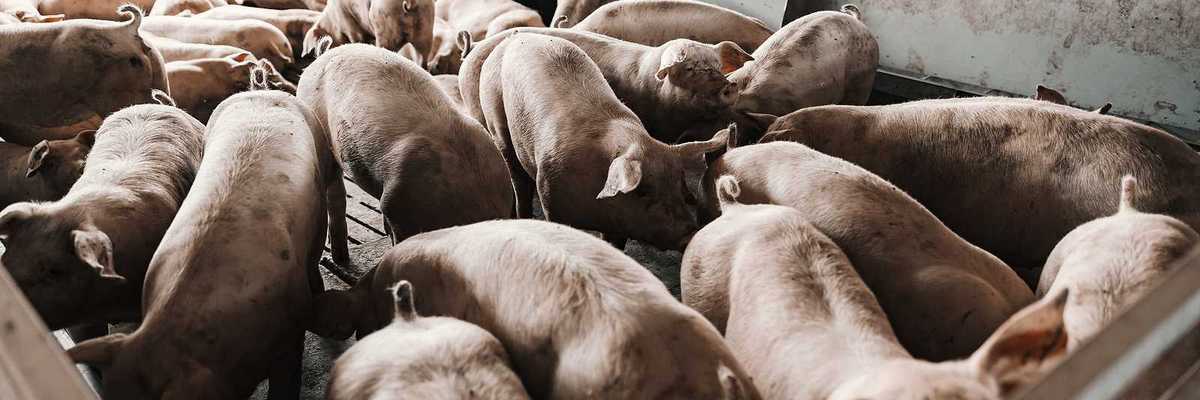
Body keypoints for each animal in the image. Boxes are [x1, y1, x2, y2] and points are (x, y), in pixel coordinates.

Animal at [473, 34, 729, 250]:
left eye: (679, 183)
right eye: (643, 191)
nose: (690, 234)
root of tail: (513, 38)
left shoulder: (623, 220)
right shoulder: (550, 195)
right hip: (496, 119)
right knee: (518, 179)